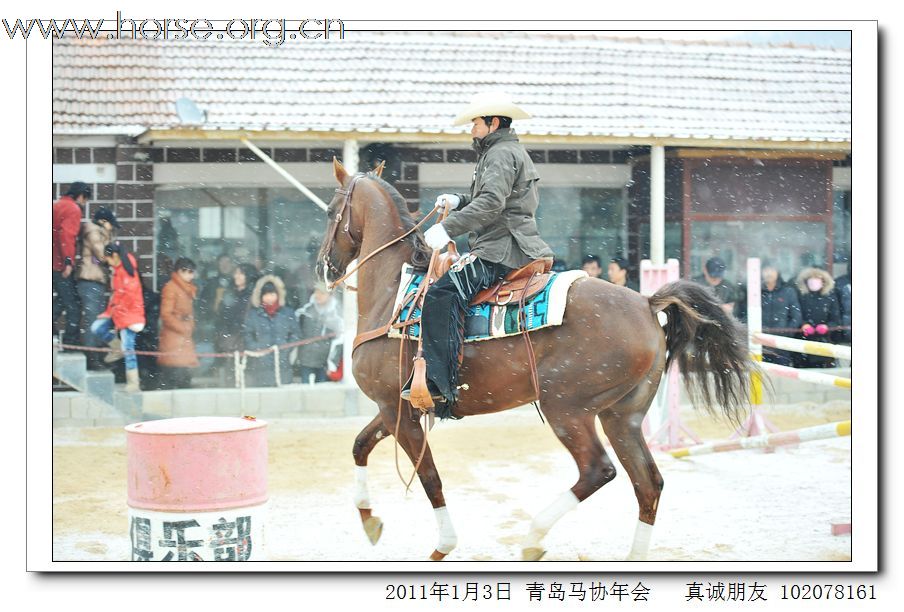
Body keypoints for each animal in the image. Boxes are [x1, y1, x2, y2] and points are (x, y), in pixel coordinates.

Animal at [318, 160, 756, 560]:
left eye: (330, 209)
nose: (325, 266)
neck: (393, 293)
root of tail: (648, 304)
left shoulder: (397, 410)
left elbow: (429, 478)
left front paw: (444, 544)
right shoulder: (395, 407)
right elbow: (360, 445)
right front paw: (370, 521)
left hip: (566, 408)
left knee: (599, 469)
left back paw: (533, 536)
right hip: (622, 416)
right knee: (647, 483)